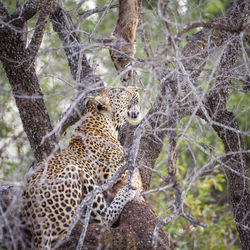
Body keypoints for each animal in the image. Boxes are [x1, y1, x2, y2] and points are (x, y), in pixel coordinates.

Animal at [22, 87, 141, 249]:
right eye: (121, 91)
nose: (137, 89)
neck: (105, 123)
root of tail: (37, 224)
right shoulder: (113, 170)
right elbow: (134, 167)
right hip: (76, 172)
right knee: (102, 219)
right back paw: (125, 193)